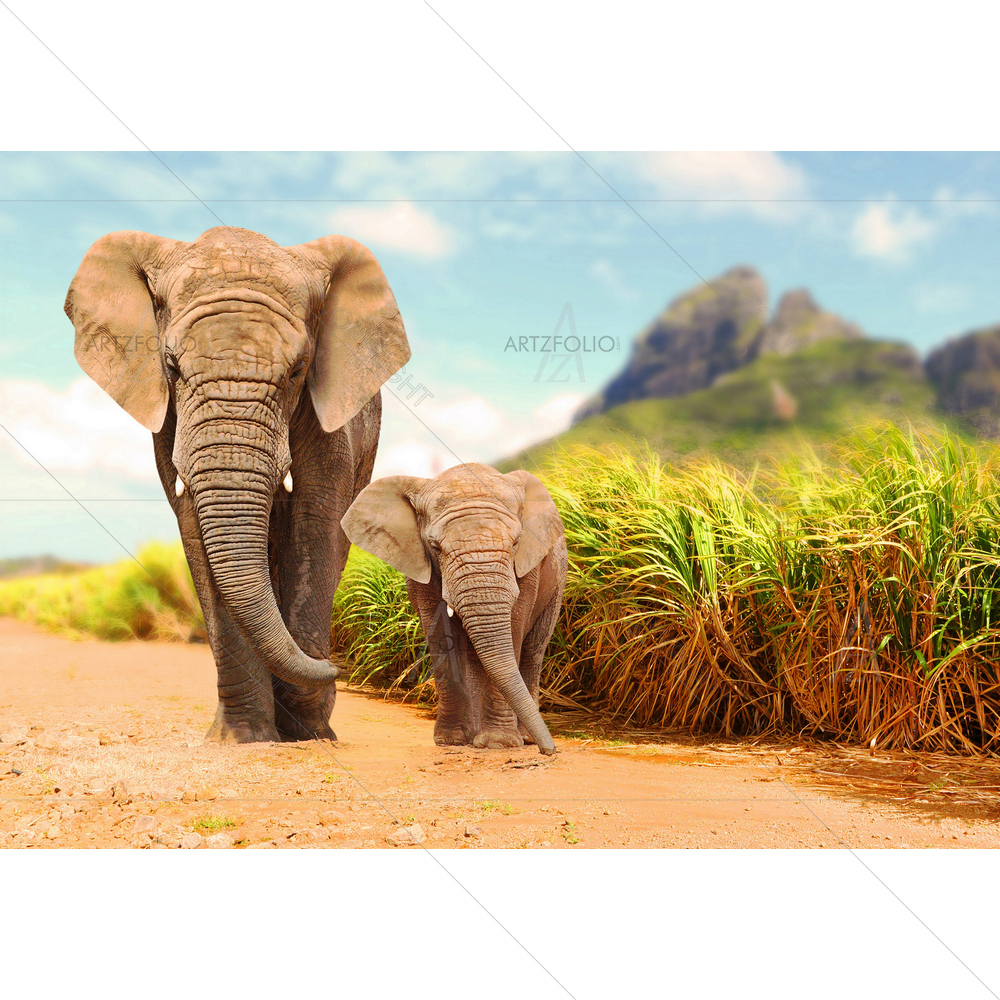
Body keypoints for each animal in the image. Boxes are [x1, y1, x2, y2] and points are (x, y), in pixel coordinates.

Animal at [65, 226, 410, 743]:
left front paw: (308, 730)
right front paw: (242, 739)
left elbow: (316, 520)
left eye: (298, 369)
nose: (337, 668)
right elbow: (194, 527)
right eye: (171, 366)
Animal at [341, 463, 567, 755]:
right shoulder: (420, 566)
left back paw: (524, 738)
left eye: (516, 542)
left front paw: (498, 744)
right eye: (435, 547)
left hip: (557, 583)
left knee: (532, 650)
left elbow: (515, 629)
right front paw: (452, 741)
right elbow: (440, 634)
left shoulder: (528, 568)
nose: (550, 751)